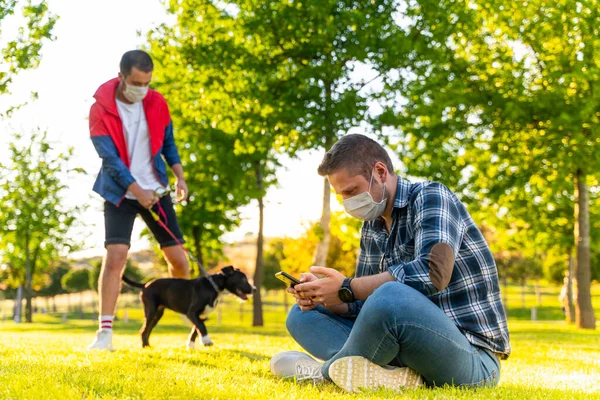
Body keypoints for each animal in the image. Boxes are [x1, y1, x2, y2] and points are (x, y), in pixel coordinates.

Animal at [120, 268, 254, 348]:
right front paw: (207, 341)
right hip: (151, 310)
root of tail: (145, 284)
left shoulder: (201, 315)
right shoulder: (192, 312)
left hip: (158, 314)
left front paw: (191, 345)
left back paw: (147, 345)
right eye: (243, 279)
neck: (213, 287)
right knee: (144, 330)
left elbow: (196, 328)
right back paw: (145, 347)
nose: (255, 289)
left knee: (147, 330)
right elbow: (201, 327)